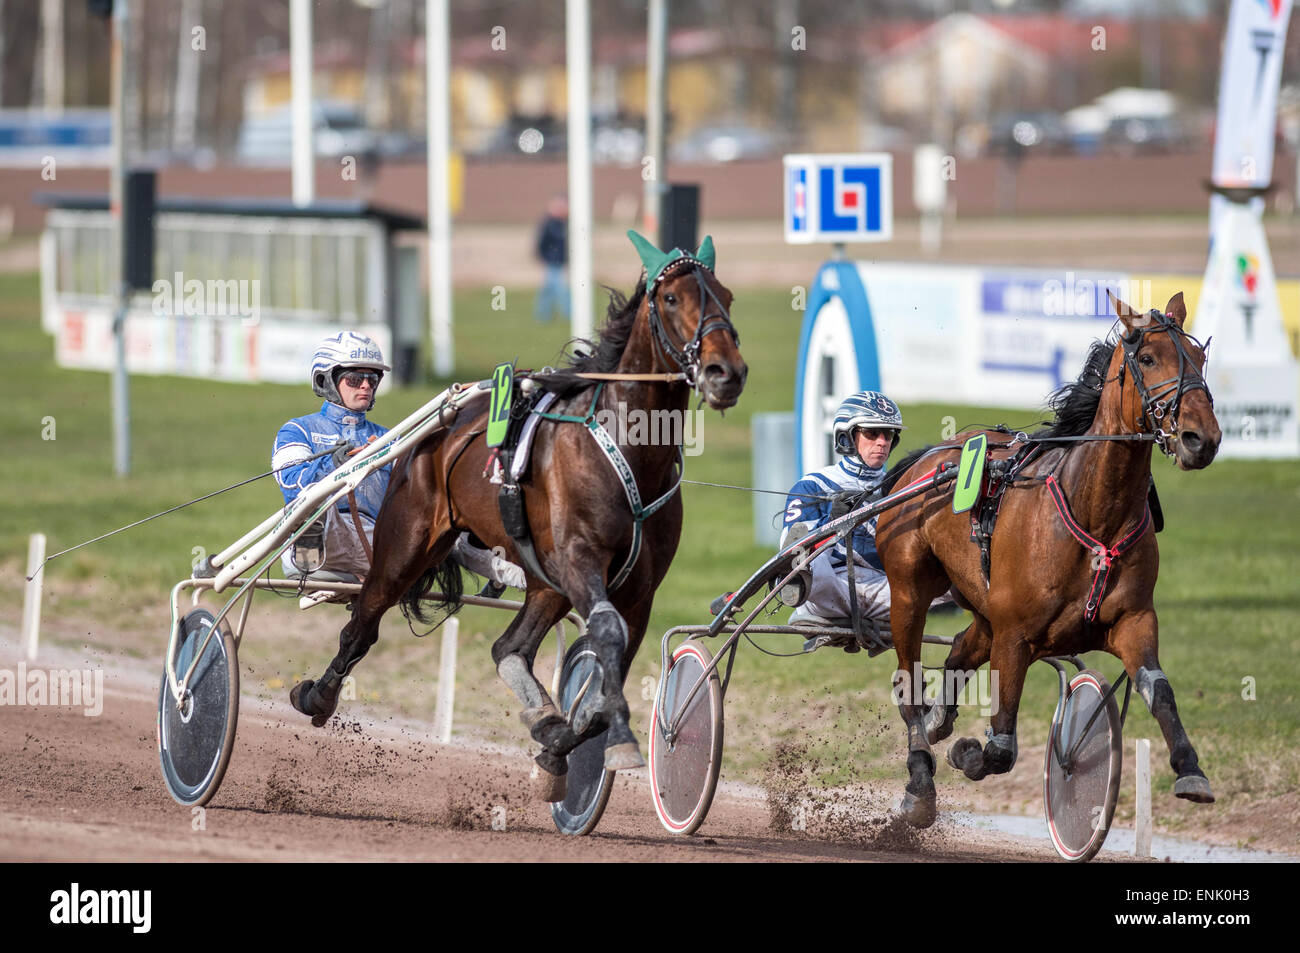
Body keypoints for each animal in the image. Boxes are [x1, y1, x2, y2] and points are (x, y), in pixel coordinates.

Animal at [291, 234, 748, 800]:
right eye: (670, 299)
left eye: (727, 297)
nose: (726, 372)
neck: (630, 449)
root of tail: (436, 430)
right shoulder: (580, 560)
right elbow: (606, 638)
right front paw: (614, 741)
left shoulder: (639, 590)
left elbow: (601, 689)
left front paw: (556, 749)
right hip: (406, 544)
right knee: (361, 625)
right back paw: (317, 695)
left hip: (544, 582)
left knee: (509, 647)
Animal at [873, 289, 1216, 826]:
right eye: (1146, 358)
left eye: (1200, 358)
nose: (1202, 438)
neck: (1096, 517)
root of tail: (929, 460)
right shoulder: (1014, 637)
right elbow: (1000, 748)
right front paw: (967, 753)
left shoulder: (1134, 621)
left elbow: (1159, 690)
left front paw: (1190, 769)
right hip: (909, 590)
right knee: (909, 683)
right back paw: (920, 781)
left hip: (981, 607)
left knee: (958, 651)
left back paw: (938, 721)